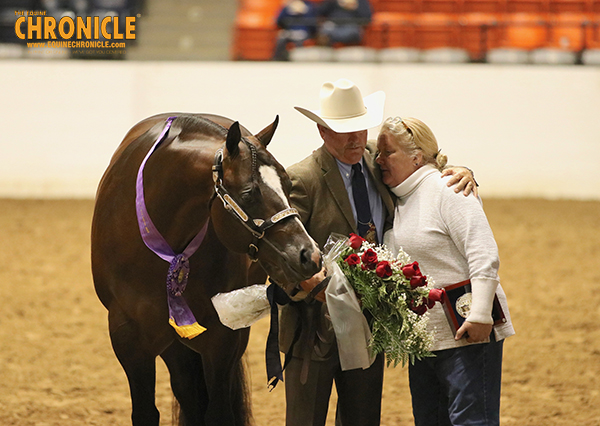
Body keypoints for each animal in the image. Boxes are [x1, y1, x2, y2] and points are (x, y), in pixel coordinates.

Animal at [91, 113, 322, 426]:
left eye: (288, 185)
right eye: (249, 193)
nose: (309, 256)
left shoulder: (222, 340)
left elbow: (218, 412)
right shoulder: (128, 340)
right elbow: (147, 413)